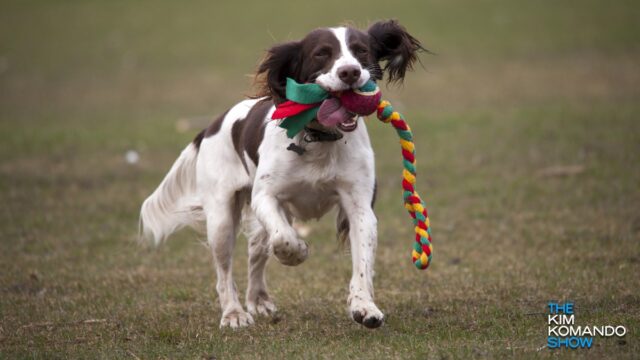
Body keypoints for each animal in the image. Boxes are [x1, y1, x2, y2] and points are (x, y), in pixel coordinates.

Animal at [139, 19, 424, 330]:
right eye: (321, 54)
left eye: (361, 50)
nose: (349, 72)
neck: (319, 139)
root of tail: (211, 125)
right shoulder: (265, 196)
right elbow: (284, 238)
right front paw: (297, 253)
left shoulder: (359, 206)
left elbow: (362, 263)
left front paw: (364, 307)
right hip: (221, 218)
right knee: (225, 272)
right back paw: (234, 313)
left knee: (255, 251)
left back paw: (259, 300)